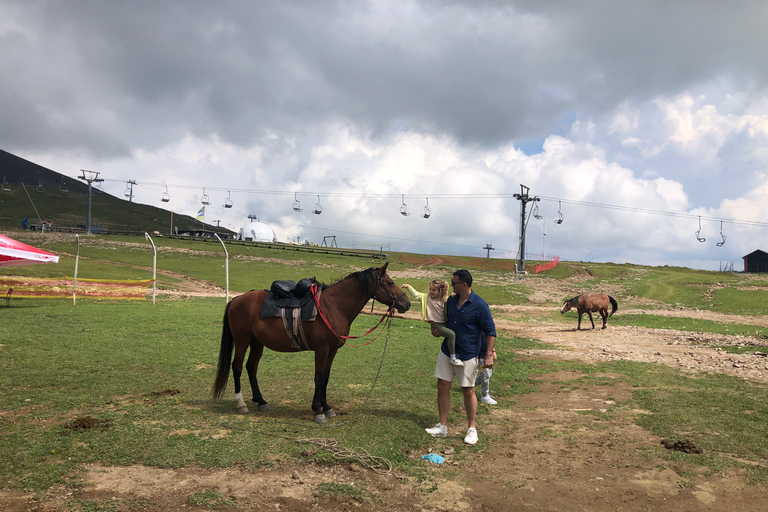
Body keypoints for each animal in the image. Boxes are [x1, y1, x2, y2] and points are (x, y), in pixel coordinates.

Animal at [212, 262, 408, 422]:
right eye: (390, 283)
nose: (406, 303)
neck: (332, 307)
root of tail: (237, 299)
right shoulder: (321, 349)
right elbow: (319, 378)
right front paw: (318, 411)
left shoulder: (332, 350)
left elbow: (326, 377)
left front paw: (326, 407)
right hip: (242, 340)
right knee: (237, 367)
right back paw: (241, 404)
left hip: (257, 343)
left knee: (251, 367)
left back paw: (261, 401)